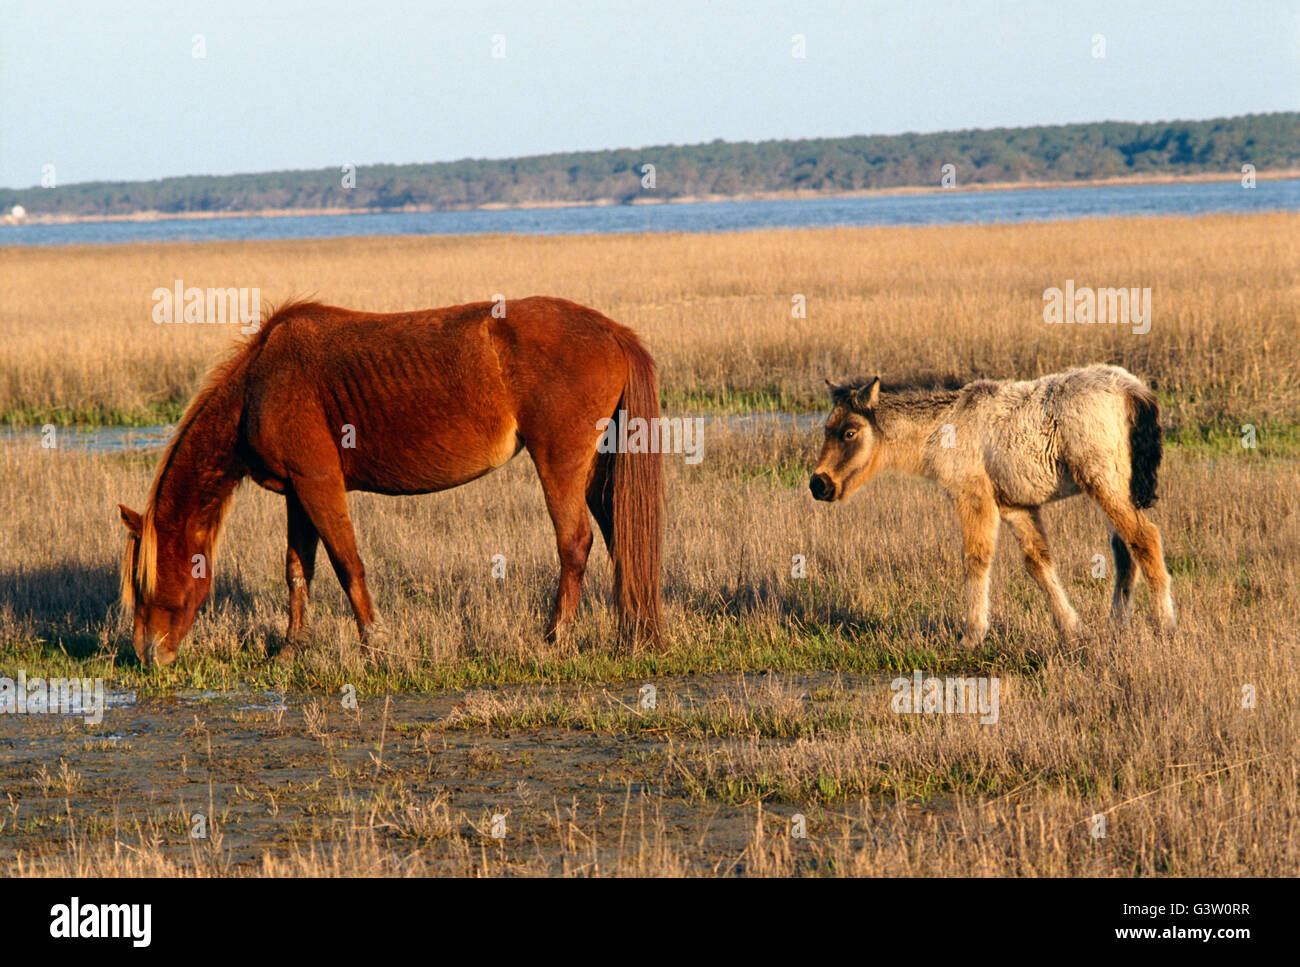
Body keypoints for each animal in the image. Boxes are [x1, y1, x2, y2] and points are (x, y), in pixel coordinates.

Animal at [118, 297, 662, 666]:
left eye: (146, 581)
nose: (147, 655)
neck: (260, 384)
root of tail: (611, 331)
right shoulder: (298, 493)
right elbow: (298, 569)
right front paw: (293, 647)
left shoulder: (319, 484)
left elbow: (346, 563)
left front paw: (373, 641)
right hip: (595, 471)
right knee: (619, 539)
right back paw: (631, 634)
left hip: (560, 463)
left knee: (575, 544)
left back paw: (556, 638)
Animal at [809, 364, 1175, 647]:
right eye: (827, 429)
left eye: (850, 433)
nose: (819, 484)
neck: (944, 426)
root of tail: (1131, 388)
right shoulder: (1015, 506)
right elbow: (1039, 564)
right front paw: (1072, 629)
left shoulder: (972, 498)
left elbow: (976, 560)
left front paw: (972, 636)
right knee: (1125, 552)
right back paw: (1117, 627)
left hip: (1104, 485)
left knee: (1145, 540)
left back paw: (1164, 626)